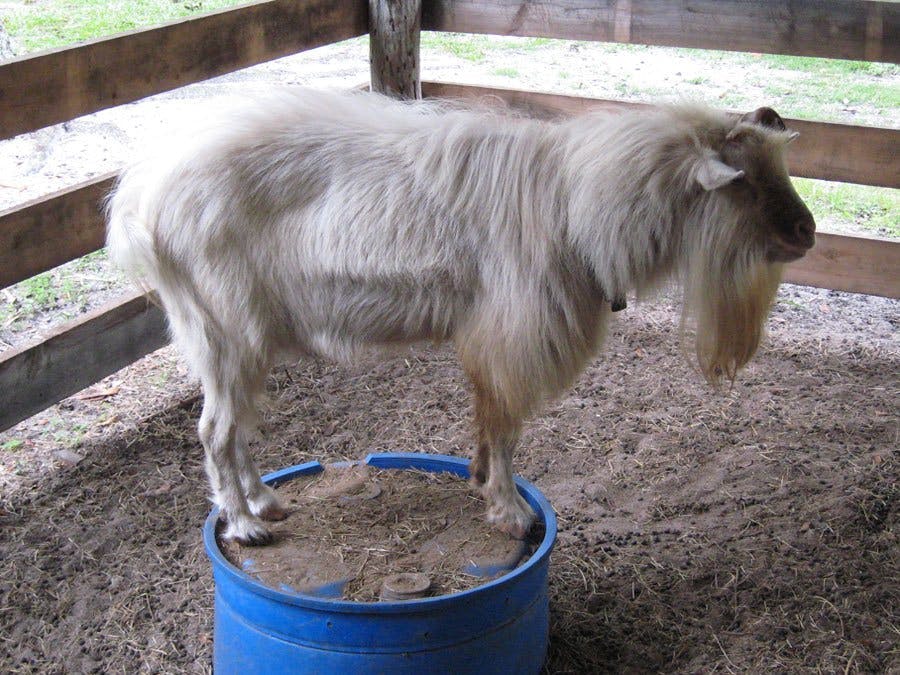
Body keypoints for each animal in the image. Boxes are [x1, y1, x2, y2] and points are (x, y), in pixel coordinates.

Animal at [106, 89, 815, 544]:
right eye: (745, 182)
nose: (807, 233)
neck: (578, 207)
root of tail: (142, 198)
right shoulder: (513, 334)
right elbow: (506, 427)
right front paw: (510, 510)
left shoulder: (496, 341)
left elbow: (490, 417)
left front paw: (480, 479)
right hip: (225, 327)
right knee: (214, 431)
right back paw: (245, 523)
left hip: (233, 339)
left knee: (235, 427)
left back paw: (264, 500)